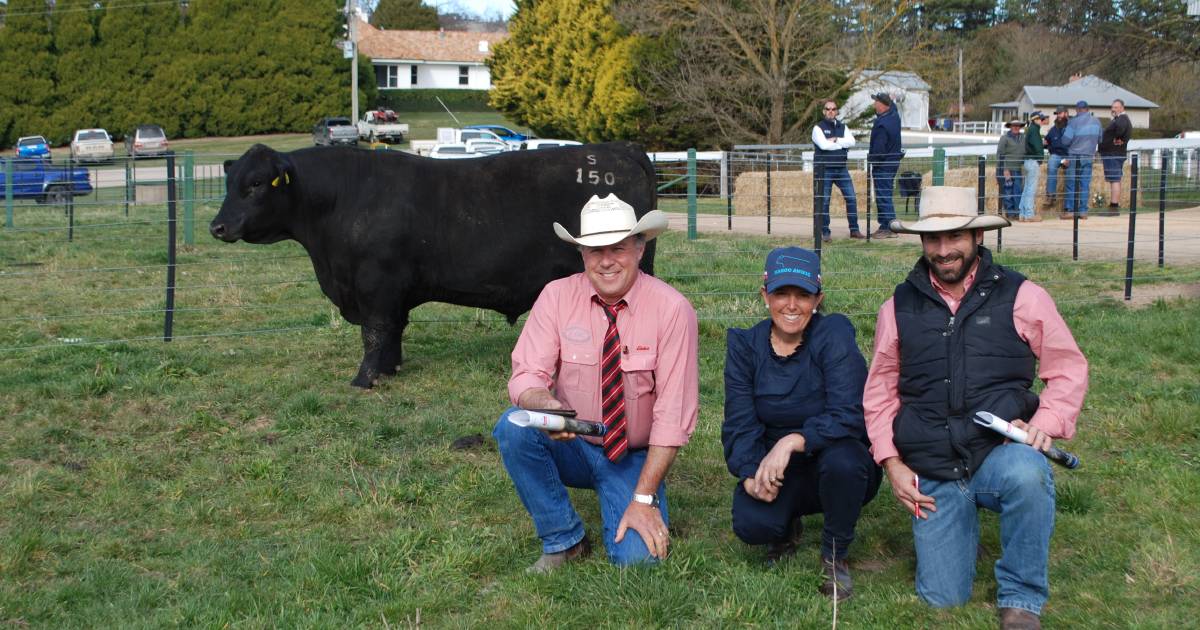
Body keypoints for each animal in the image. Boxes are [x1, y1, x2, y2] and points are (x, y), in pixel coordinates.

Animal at [206, 141, 657, 386]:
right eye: (229, 182)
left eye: (256, 184)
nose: (218, 226)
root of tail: (621, 149)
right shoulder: (391, 291)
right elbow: (393, 332)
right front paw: (390, 369)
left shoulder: (375, 285)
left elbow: (374, 332)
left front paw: (364, 379)